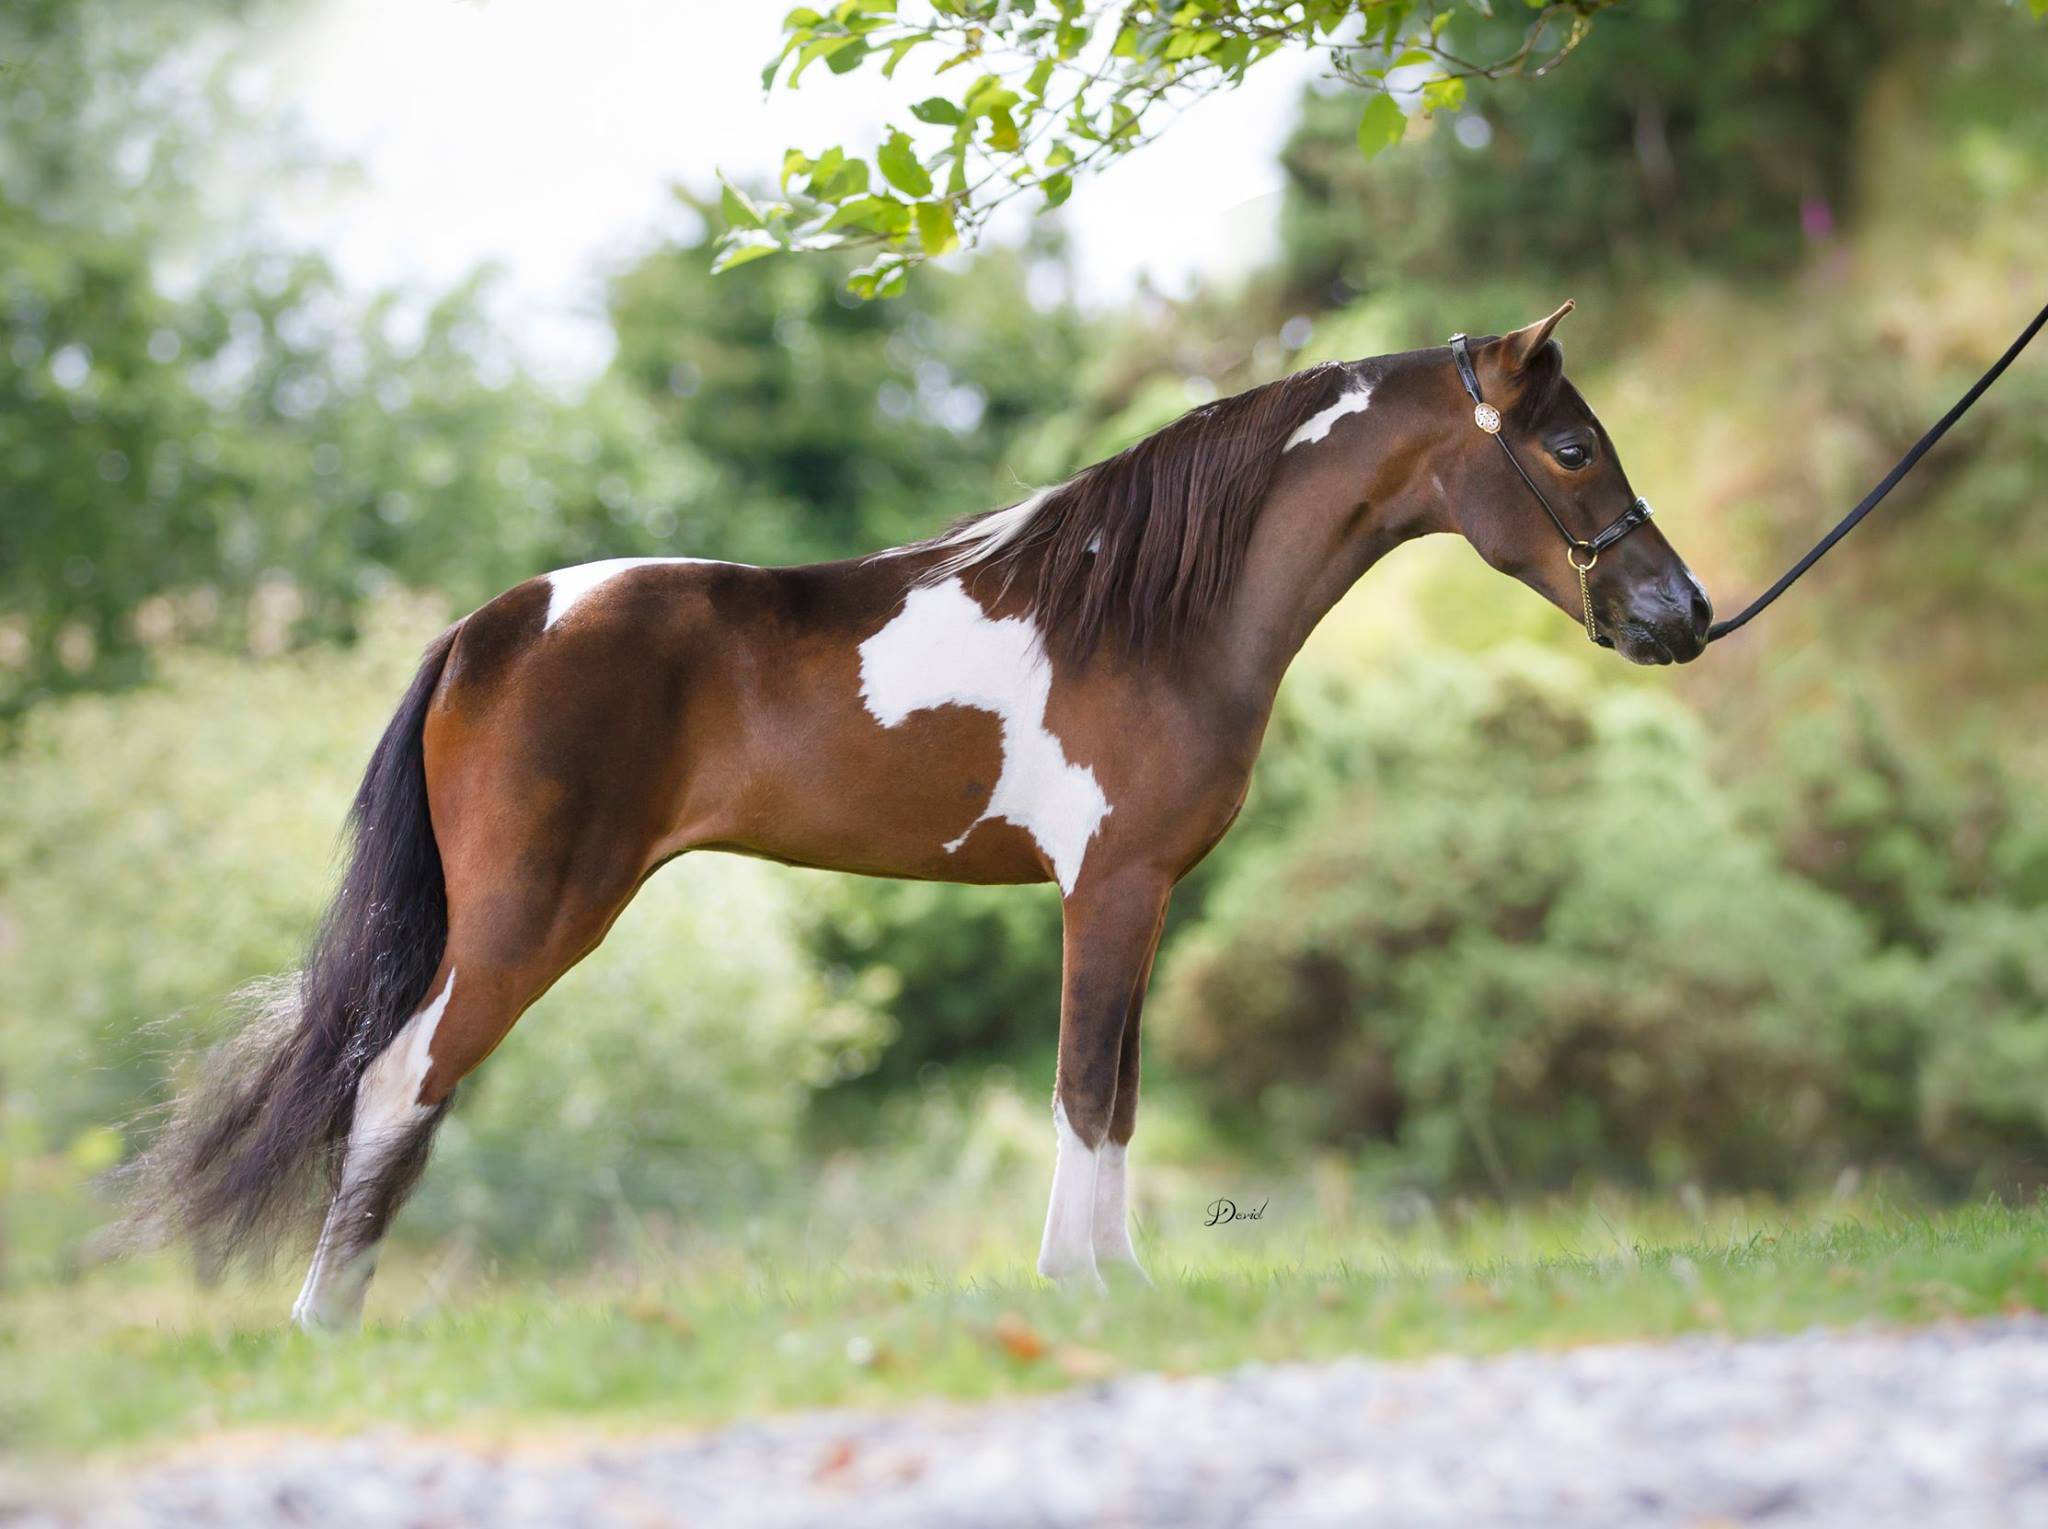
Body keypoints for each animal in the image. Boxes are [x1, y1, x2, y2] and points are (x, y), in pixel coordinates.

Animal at [132, 300, 1711, 1329]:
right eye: (1570, 449)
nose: (1680, 613)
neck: (1147, 612)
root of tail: (487, 626)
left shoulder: (1141, 894)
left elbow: (1117, 1090)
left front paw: (1118, 1285)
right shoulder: (1108, 887)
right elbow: (1083, 1085)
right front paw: (1082, 1290)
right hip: (528, 922)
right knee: (398, 1083)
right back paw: (325, 1325)